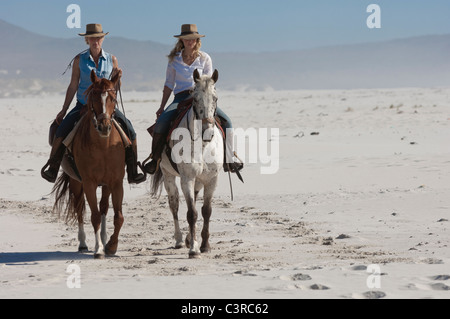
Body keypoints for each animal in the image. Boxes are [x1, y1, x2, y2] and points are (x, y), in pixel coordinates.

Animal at [53, 69, 126, 260]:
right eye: (94, 97)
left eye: (113, 98)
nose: (104, 127)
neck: (104, 146)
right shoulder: (89, 183)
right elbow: (93, 216)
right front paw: (99, 249)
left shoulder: (116, 182)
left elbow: (118, 216)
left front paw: (111, 246)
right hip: (76, 182)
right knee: (79, 207)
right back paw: (83, 243)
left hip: (105, 185)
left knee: (104, 207)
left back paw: (104, 238)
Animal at [152, 69, 224, 258]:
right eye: (195, 99)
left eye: (215, 98)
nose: (207, 130)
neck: (203, 145)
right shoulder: (187, 178)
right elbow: (191, 213)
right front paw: (193, 249)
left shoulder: (211, 179)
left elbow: (206, 211)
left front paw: (204, 245)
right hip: (168, 176)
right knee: (174, 204)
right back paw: (179, 240)